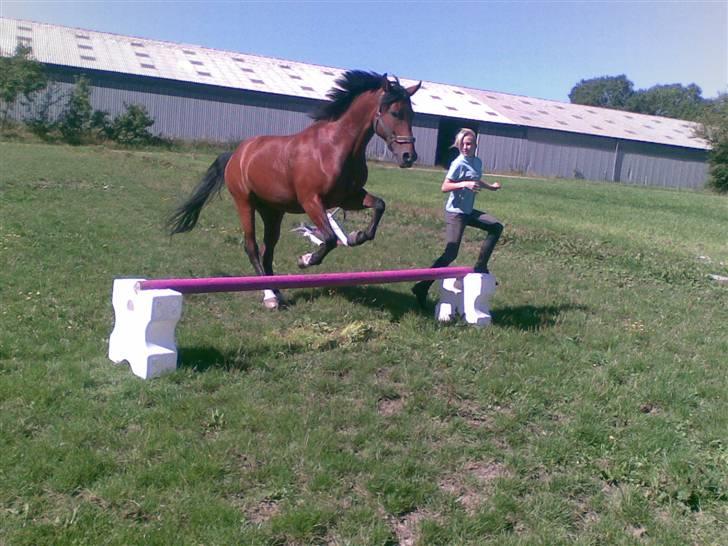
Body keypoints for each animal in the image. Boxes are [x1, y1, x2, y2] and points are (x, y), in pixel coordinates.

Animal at [167, 70, 421, 309]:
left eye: (412, 114)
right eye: (395, 113)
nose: (408, 156)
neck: (334, 147)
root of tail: (237, 154)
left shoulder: (349, 197)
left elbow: (379, 206)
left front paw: (356, 236)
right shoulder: (312, 201)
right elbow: (329, 239)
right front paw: (305, 259)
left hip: (272, 212)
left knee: (268, 250)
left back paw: (277, 292)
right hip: (244, 203)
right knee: (252, 247)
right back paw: (269, 296)